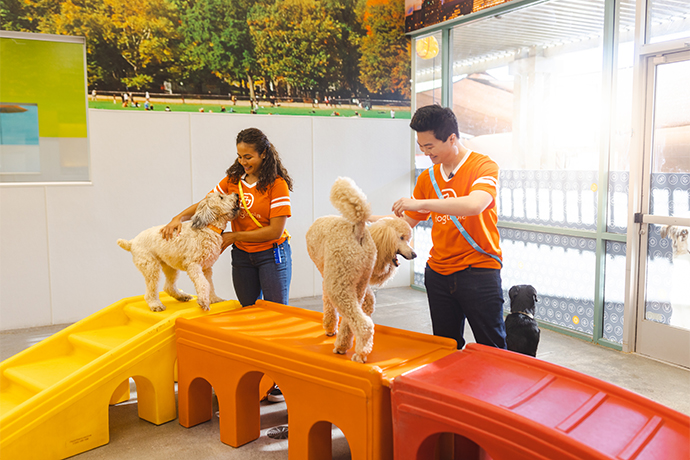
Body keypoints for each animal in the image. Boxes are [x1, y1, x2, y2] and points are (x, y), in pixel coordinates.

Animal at [306, 177, 414, 362]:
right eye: (402, 238)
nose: (414, 254)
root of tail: (359, 231)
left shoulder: (329, 279)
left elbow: (328, 304)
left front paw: (329, 327)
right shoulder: (362, 284)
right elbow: (367, 304)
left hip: (339, 285)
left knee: (363, 324)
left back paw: (359, 352)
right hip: (353, 284)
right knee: (354, 318)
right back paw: (343, 345)